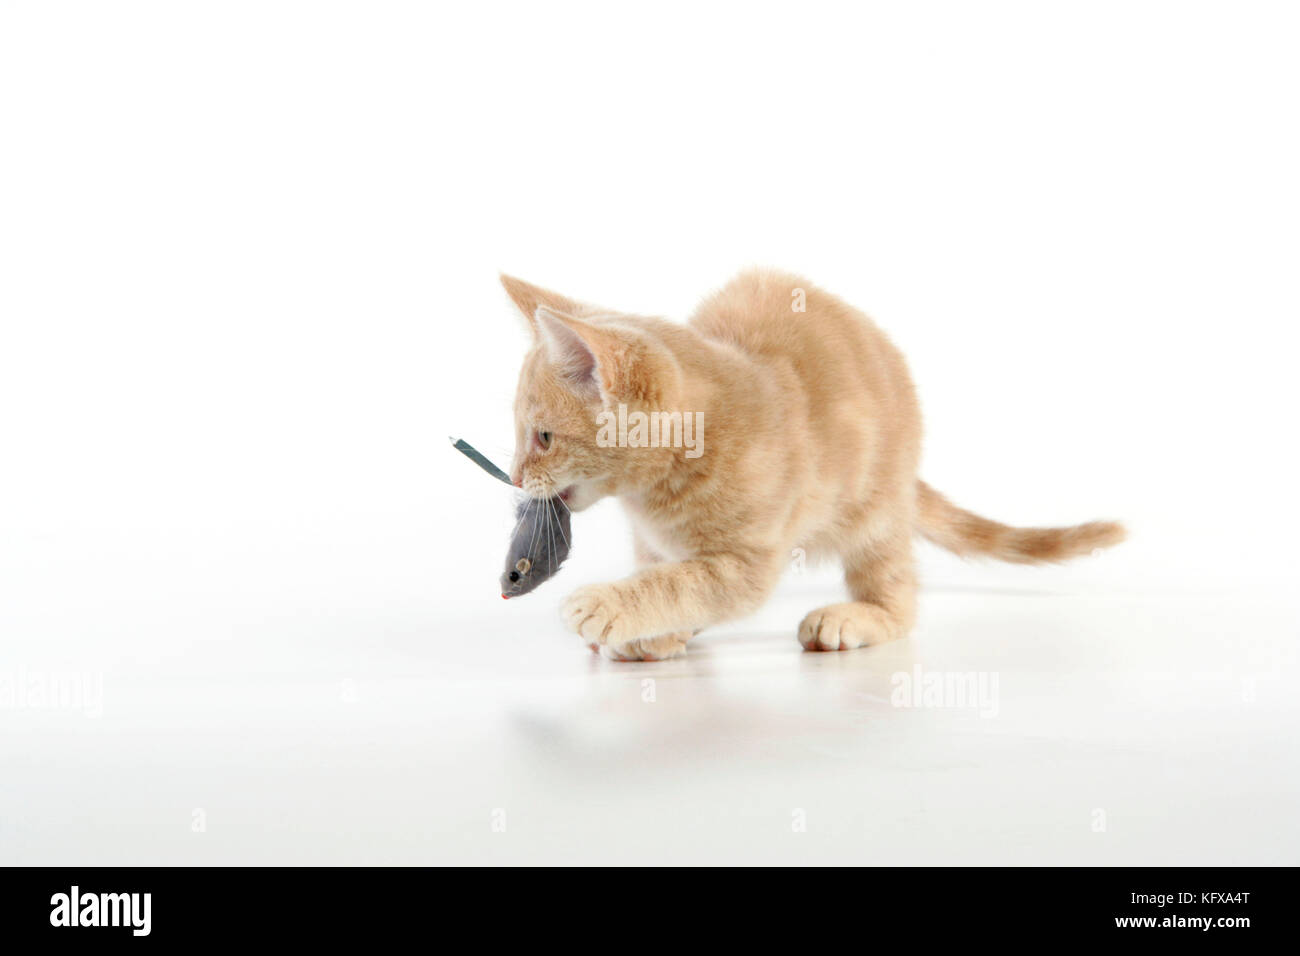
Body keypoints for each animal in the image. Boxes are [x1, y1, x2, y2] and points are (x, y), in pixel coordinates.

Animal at [501, 267, 1123, 658]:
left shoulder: (748, 561)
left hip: (874, 510)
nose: (515, 477)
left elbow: (683, 584)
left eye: (544, 437)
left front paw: (611, 605)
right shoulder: (655, 544)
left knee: (899, 597)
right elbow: (669, 574)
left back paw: (855, 618)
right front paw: (657, 633)